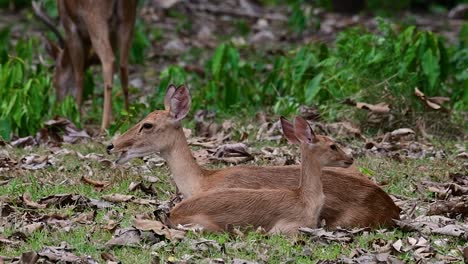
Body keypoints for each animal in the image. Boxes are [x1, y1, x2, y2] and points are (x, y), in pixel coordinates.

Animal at [31, 0, 135, 131]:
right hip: (128, 18)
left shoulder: (70, 28)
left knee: (108, 60)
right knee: (123, 66)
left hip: (95, 18)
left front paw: (76, 117)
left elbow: (79, 75)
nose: (58, 105)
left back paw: (104, 126)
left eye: (53, 82)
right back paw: (128, 118)